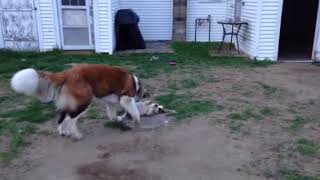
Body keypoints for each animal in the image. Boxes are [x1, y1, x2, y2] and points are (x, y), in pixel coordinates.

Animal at [10, 64, 142, 140]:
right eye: (137, 93)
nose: (138, 98)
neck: (134, 81)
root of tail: (68, 73)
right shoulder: (126, 98)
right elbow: (134, 109)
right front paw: (137, 121)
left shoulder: (109, 101)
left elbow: (112, 112)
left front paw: (116, 119)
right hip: (84, 101)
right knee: (71, 119)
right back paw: (76, 135)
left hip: (68, 103)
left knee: (62, 118)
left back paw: (63, 132)